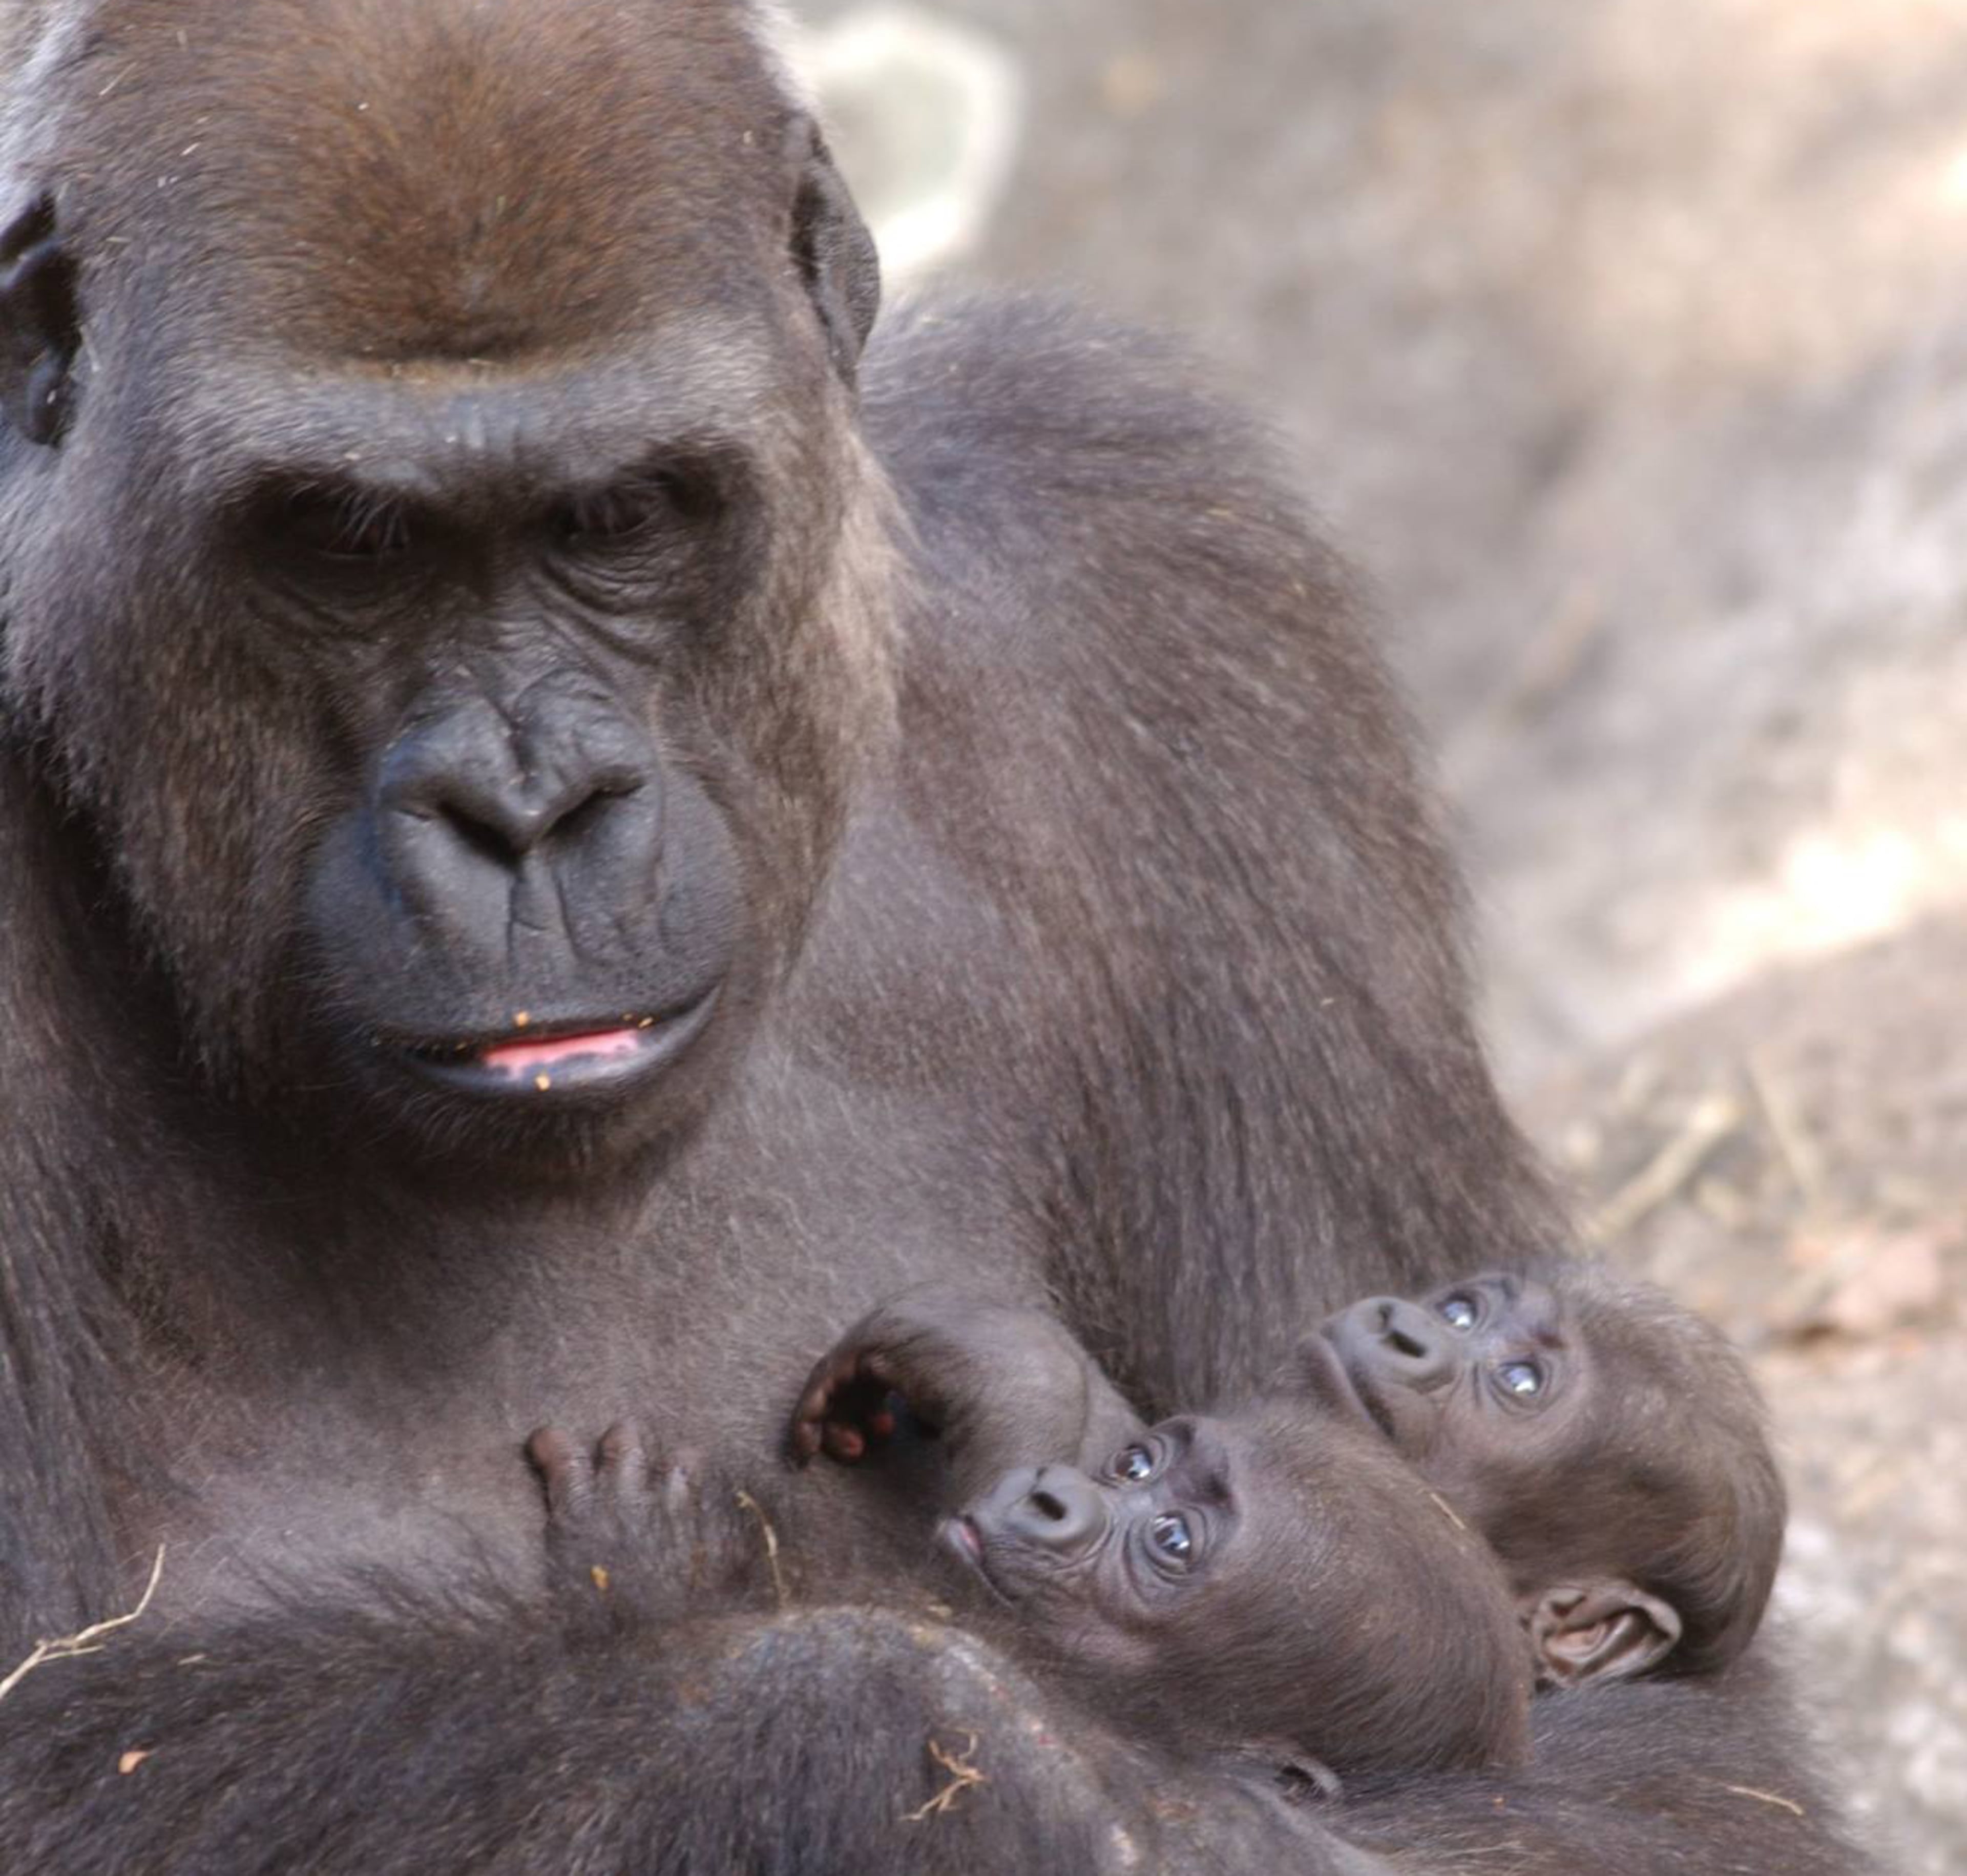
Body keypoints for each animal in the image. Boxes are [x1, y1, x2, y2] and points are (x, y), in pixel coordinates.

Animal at [0, 2, 1862, 1869]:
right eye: (350, 543)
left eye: (620, 516)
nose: (530, 812)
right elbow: (60, 1743)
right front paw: (941, 1750)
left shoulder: (1150, 572)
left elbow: (1679, 1742)